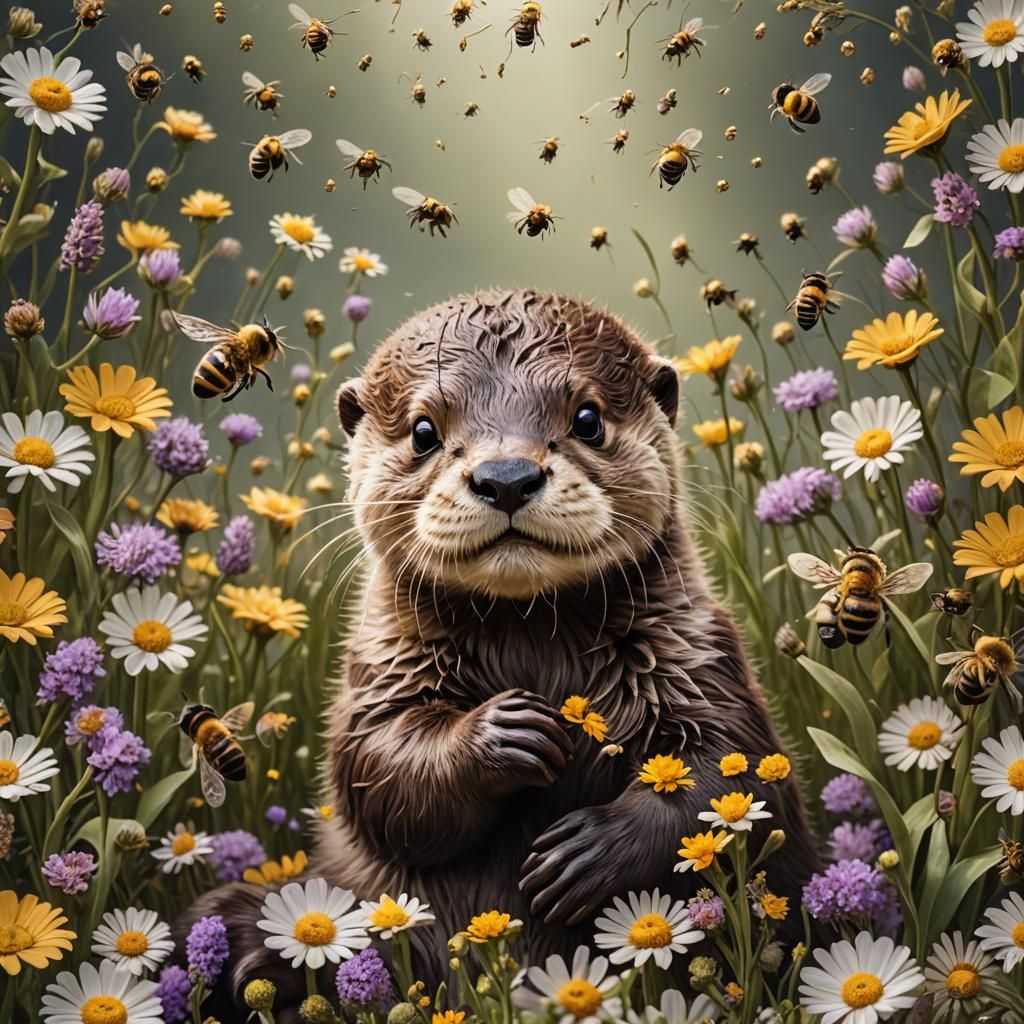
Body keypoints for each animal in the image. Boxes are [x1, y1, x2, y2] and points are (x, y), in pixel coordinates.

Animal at [187, 289, 821, 1016]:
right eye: (424, 431)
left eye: (587, 418)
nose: (507, 475)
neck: (532, 648)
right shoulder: (381, 670)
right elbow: (378, 770)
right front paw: (507, 733)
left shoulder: (698, 652)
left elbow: (732, 771)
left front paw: (585, 853)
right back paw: (271, 974)